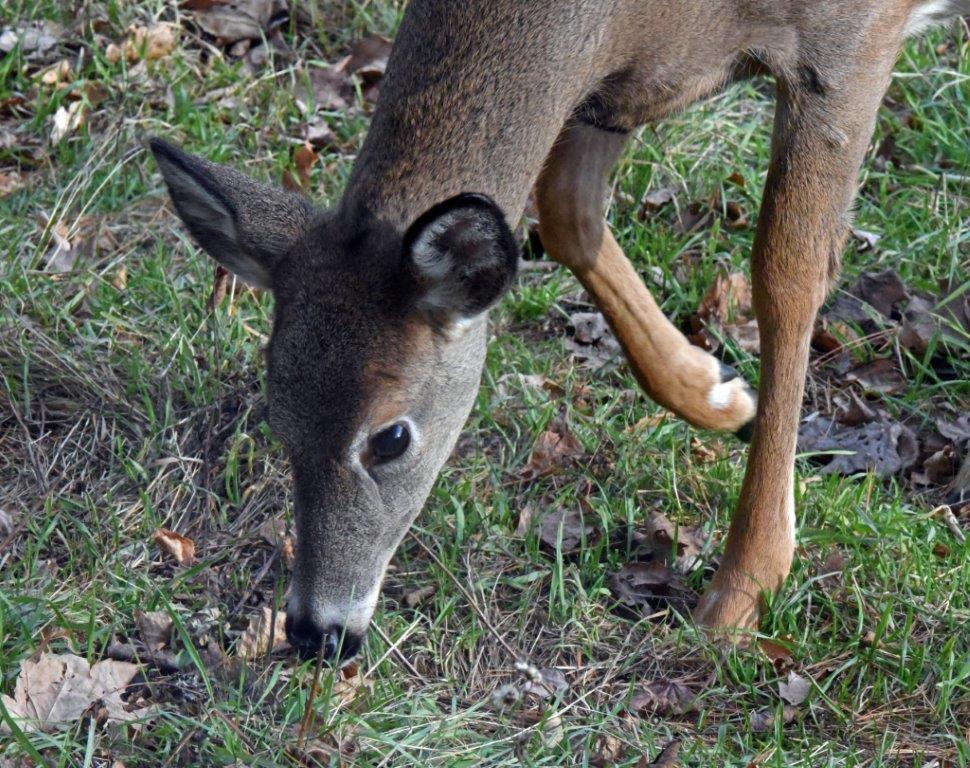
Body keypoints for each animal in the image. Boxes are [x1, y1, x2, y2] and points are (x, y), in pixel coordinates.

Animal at [150, 0, 969, 662]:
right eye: (278, 417)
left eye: (391, 438)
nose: (317, 633)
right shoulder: (614, 91)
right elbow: (567, 210)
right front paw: (717, 393)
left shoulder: (846, 42)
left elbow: (786, 270)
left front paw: (743, 588)